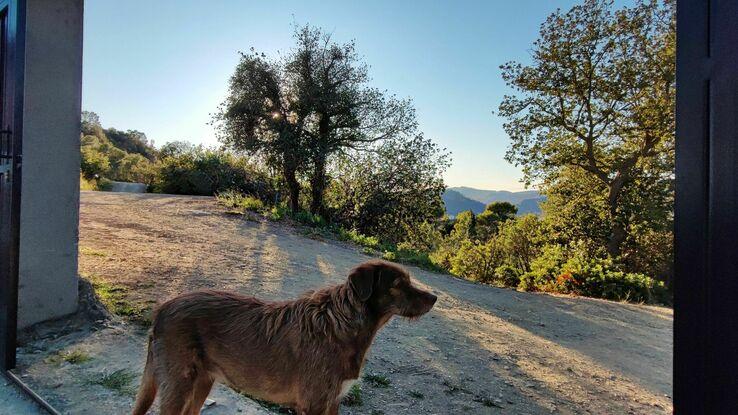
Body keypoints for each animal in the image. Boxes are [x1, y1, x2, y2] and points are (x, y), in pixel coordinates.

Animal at [131, 260, 436, 415]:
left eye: (409, 280)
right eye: (398, 284)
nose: (434, 297)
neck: (344, 323)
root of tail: (162, 309)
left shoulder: (332, 403)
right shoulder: (313, 405)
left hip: (202, 382)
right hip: (178, 386)